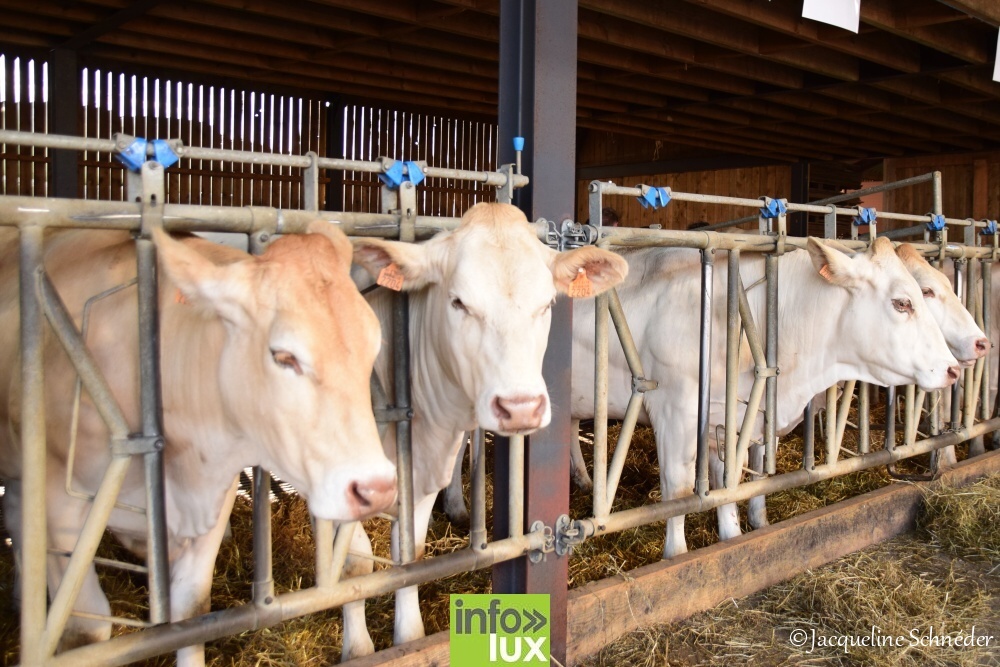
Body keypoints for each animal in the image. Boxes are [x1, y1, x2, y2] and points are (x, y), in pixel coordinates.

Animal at [0, 223, 396, 664]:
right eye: (283, 356)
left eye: (373, 346)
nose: (377, 489)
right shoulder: (58, 507)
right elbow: (85, 633)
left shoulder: (215, 491)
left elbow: (191, 612)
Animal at [344, 201, 624, 660]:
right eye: (458, 302)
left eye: (548, 303)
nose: (521, 406)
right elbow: (355, 566)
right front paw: (358, 650)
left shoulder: (422, 470)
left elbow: (409, 554)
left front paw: (409, 639)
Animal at [564, 235, 960, 560]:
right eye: (904, 302)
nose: (953, 369)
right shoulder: (674, 413)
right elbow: (677, 492)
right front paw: (675, 556)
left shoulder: (730, 420)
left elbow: (729, 483)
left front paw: (733, 537)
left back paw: (585, 481)